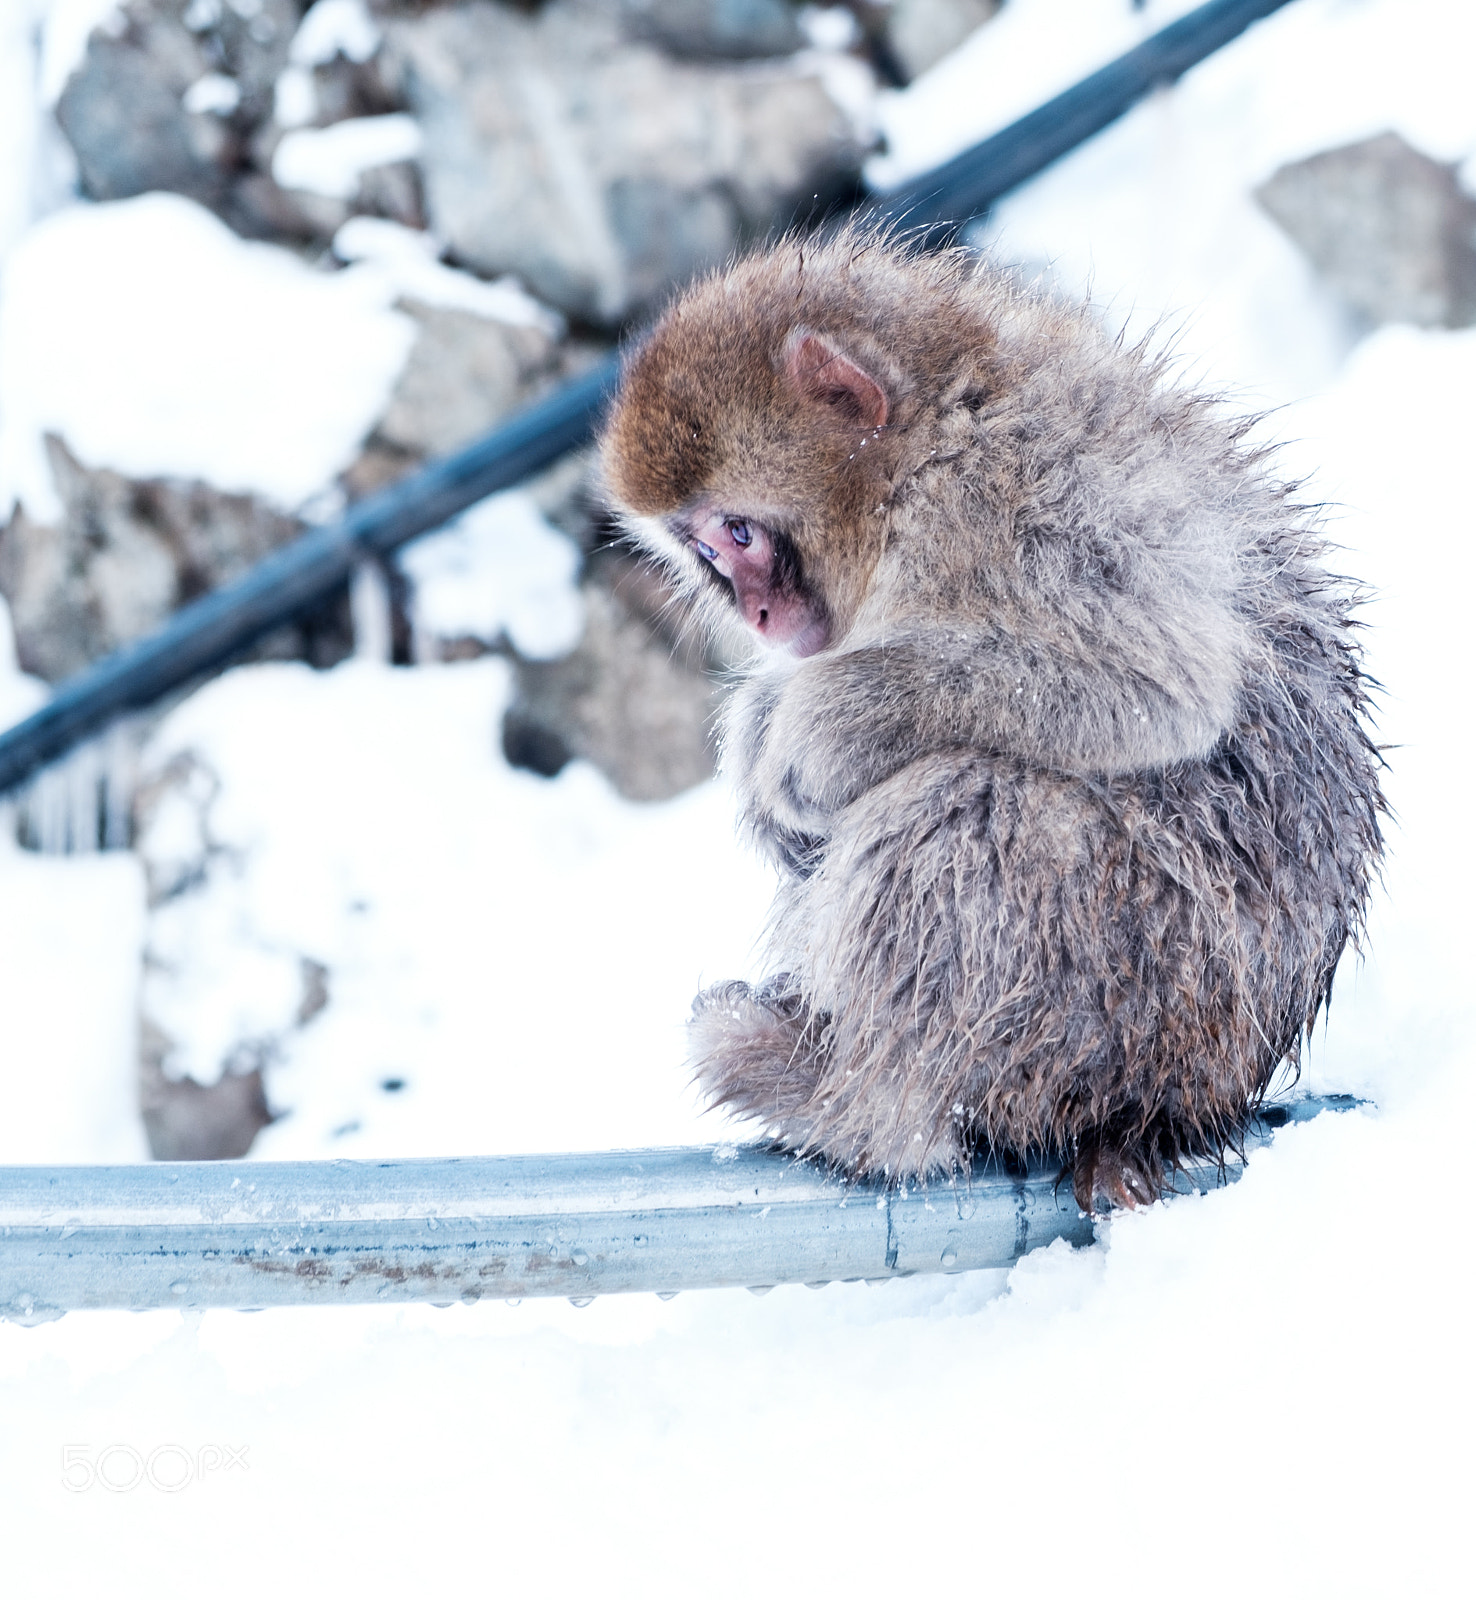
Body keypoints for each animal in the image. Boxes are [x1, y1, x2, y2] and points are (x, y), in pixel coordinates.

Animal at [597, 229, 1385, 1211]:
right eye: (704, 550)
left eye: (738, 533)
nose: (759, 616)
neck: (930, 434)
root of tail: (1182, 1105)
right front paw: (760, 743)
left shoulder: (1012, 499)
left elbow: (1168, 687)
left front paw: (822, 731)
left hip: (1136, 981)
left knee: (964, 807)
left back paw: (860, 1109)